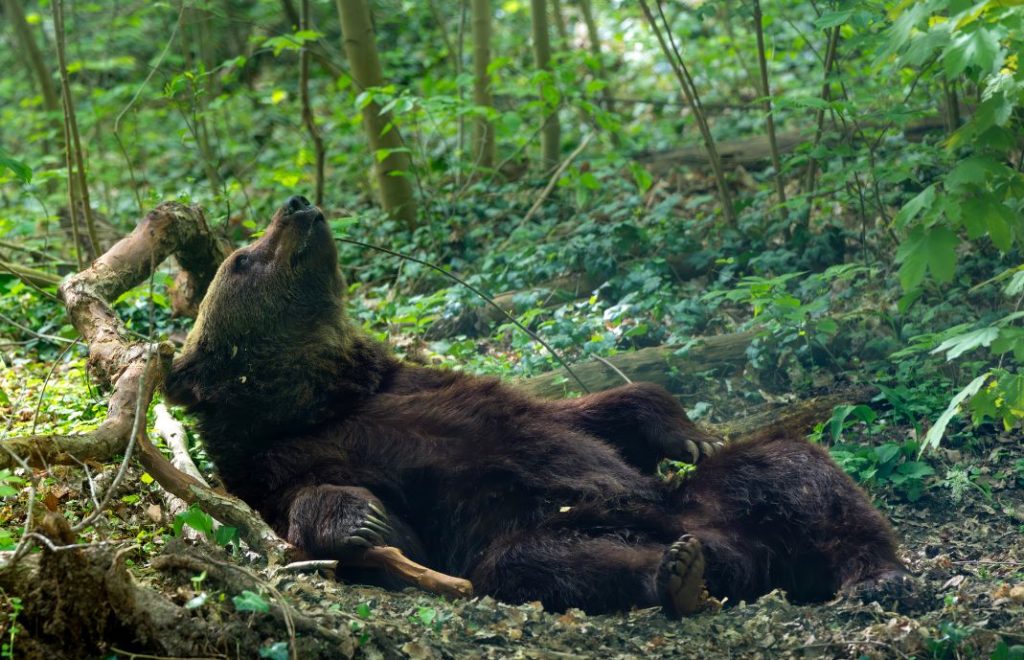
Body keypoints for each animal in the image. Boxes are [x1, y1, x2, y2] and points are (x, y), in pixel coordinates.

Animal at [163, 194, 909, 613]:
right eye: (240, 260)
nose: (297, 205)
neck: (320, 397)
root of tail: (743, 549)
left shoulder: (422, 385)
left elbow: (594, 413)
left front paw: (687, 432)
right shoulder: (277, 463)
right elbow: (317, 509)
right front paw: (366, 525)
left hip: (705, 495)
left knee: (795, 470)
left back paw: (879, 578)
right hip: (538, 533)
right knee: (547, 565)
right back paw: (680, 575)